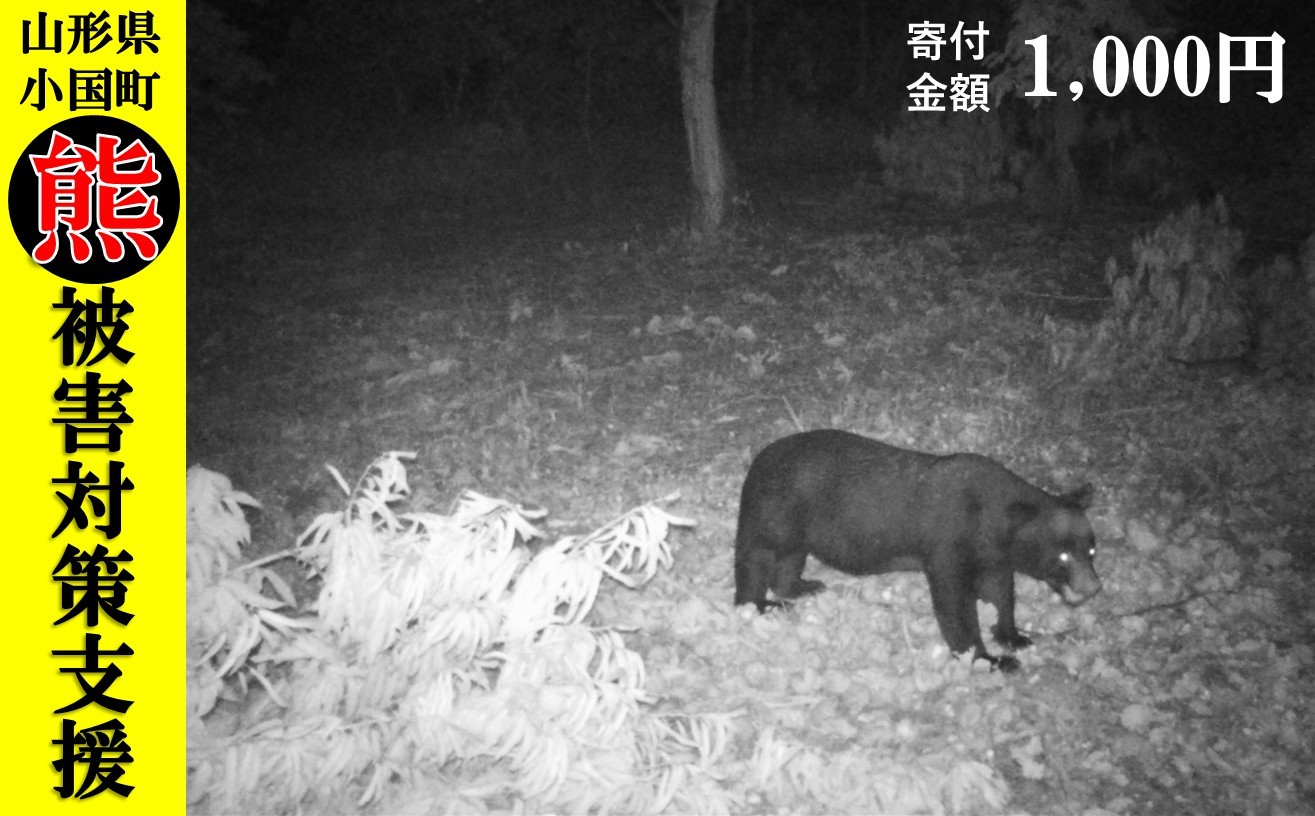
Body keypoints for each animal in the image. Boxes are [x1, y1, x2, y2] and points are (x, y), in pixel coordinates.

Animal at [733, 429, 1102, 672]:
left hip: (797, 531)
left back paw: (804, 587)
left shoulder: (993, 558)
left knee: (788, 562)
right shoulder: (948, 548)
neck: (991, 520)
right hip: (772, 515)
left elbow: (1001, 594)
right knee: (755, 560)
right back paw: (760, 604)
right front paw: (989, 659)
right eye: (1063, 556)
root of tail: (758, 459)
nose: (1092, 587)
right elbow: (956, 606)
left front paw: (1014, 636)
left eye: (1091, 550)